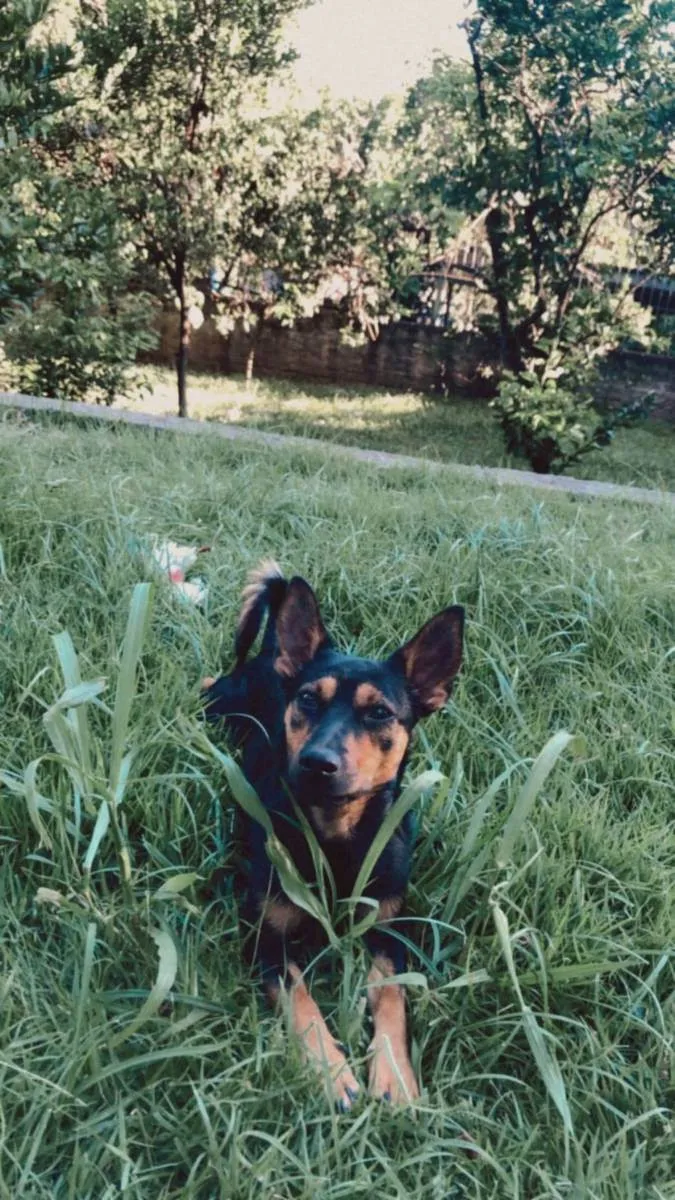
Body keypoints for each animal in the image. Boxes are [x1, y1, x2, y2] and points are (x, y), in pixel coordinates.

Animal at [200, 559, 461, 1104]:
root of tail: (274, 654)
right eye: (306, 700)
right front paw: (331, 1070)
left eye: (379, 712)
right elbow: (301, 999)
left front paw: (394, 1075)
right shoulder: (264, 942)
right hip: (218, 701)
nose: (317, 763)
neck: (334, 836)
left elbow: (392, 996)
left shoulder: (388, 930)